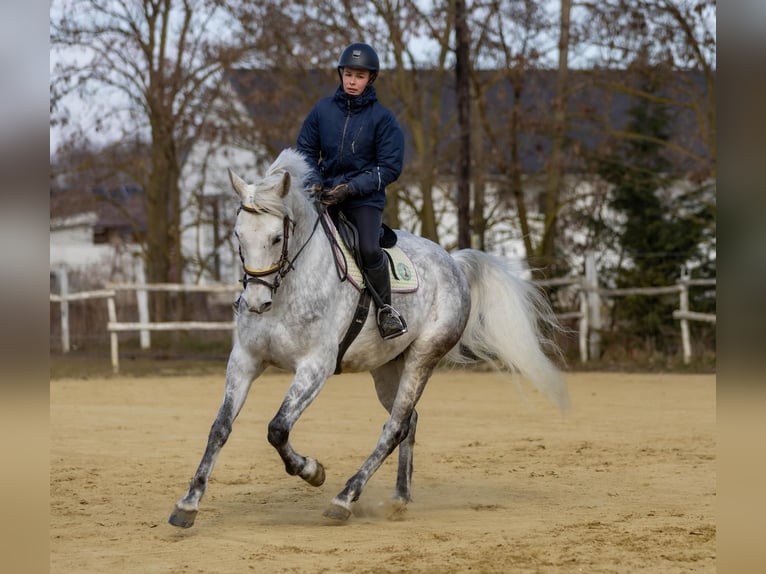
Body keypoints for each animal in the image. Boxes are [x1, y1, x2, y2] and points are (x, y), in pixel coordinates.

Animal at [171, 150, 572, 532]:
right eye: (238, 236)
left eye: (276, 238)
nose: (256, 303)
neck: (287, 289)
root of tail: (453, 262)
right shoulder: (245, 360)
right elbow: (220, 428)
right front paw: (188, 504)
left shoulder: (314, 367)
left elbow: (278, 429)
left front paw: (313, 471)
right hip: (386, 368)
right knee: (408, 421)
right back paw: (398, 498)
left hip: (422, 357)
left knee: (393, 428)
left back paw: (345, 498)